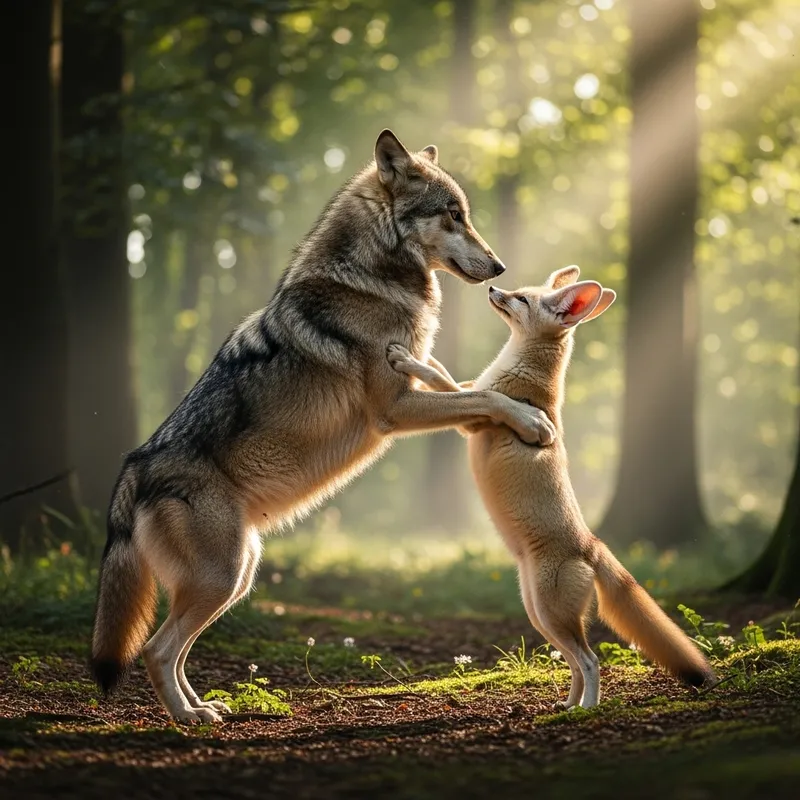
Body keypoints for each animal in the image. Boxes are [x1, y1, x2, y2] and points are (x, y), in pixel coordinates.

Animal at [90, 129, 556, 723]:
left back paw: (205, 706)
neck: (372, 279)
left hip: (237, 577)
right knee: (155, 649)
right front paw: (533, 421)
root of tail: (134, 465)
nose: (498, 268)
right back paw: (189, 718)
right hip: (222, 578)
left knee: (174, 650)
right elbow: (484, 393)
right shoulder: (395, 409)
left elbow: (472, 390)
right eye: (453, 214)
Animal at [387, 266, 716, 708]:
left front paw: (405, 358)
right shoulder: (472, 389)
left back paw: (588, 709)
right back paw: (568, 705)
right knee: (575, 663)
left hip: (552, 614)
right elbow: (445, 371)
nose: (494, 287)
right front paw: (417, 353)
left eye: (522, 299)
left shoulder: (475, 415)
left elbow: (441, 378)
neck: (523, 375)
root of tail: (592, 545)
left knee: (591, 660)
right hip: (541, 617)